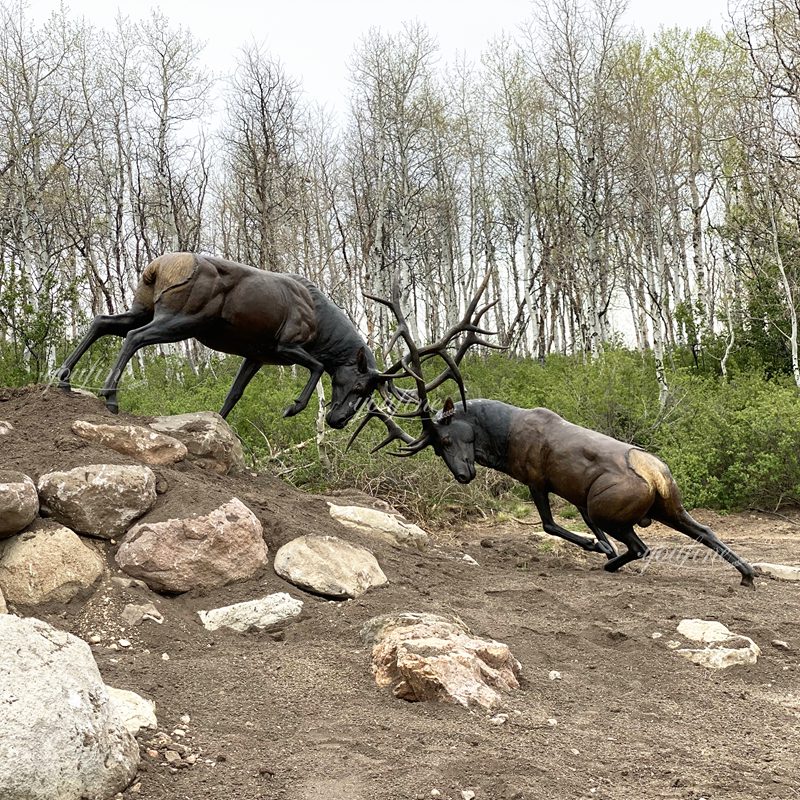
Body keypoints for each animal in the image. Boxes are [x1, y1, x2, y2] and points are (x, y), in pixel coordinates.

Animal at [351, 285, 757, 588]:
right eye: (435, 449)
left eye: (448, 438)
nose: (464, 475)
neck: (502, 441)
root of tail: (654, 475)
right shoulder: (576, 496)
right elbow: (581, 525)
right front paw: (601, 545)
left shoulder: (536, 479)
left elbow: (550, 524)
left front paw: (597, 548)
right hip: (669, 506)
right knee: (703, 529)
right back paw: (747, 573)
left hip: (614, 506)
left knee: (642, 546)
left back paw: (612, 564)